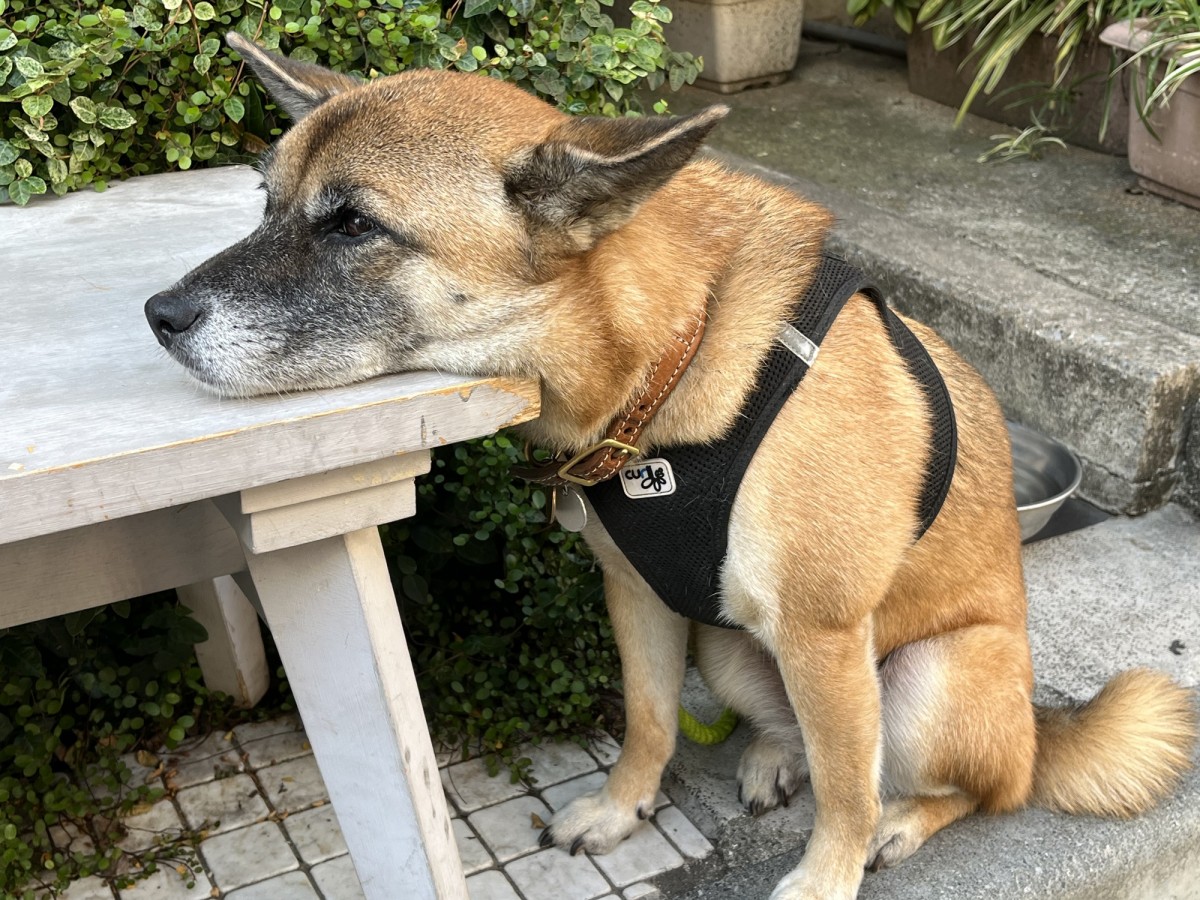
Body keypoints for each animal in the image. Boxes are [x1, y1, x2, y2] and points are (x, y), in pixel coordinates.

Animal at [150, 37, 1200, 900]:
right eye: (269, 204)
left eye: (354, 226)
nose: (159, 316)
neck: (677, 353)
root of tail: (1038, 726)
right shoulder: (639, 597)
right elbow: (650, 723)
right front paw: (623, 811)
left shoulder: (823, 634)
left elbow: (846, 798)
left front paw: (827, 877)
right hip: (730, 649)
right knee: (803, 737)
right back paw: (775, 759)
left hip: (925, 678)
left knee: (961, 787)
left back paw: (901, 820)